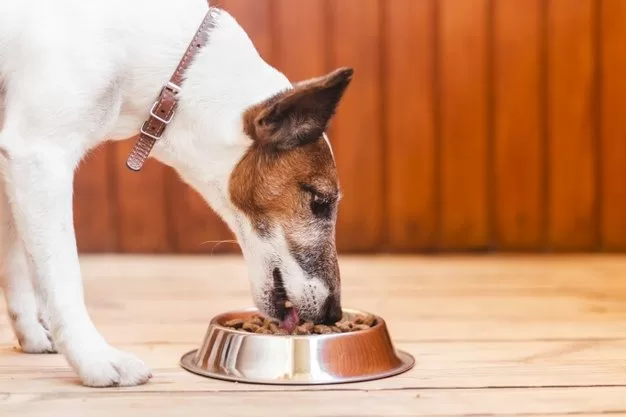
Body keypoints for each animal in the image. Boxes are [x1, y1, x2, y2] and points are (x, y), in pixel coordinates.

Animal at [0, 0, 352, 386]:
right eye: (320, 202)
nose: (334, 314)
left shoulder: (15, 165)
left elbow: (17, 262)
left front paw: (32, 333)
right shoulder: (39, 156)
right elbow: (63, 279)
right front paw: (94, 358)